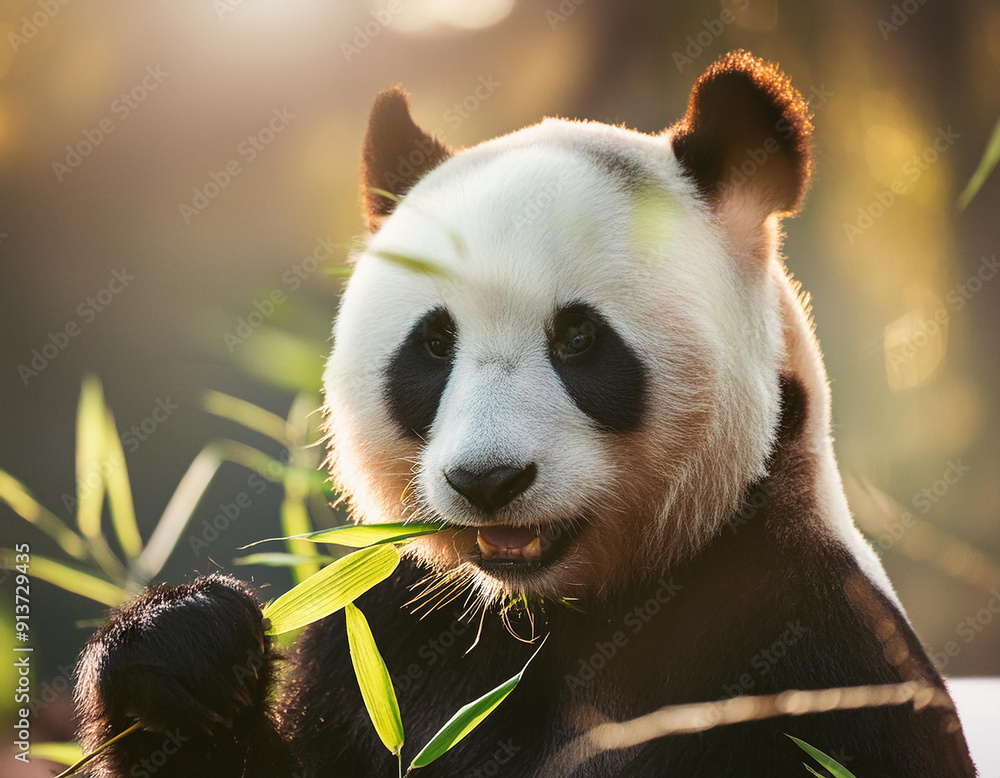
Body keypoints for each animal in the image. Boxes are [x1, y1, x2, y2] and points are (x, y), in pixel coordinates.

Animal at [75, 51, 976, 777]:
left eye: (578, 338)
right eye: (434, 344)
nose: (488, 480)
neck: (553, 612)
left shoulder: (803, 645)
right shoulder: (388, 637)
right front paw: (185, 650)